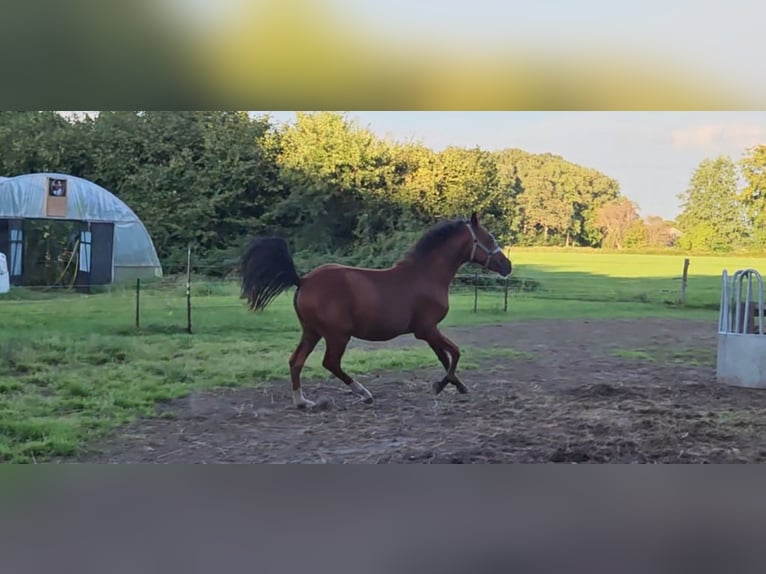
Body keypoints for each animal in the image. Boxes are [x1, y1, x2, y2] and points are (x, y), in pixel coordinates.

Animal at [243, 213, 512, 410]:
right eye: (489, 238)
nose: (507, 266)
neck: (426, 275)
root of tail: (303, 280)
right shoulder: (427, 329)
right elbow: (454, 353)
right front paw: (442, 384)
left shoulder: (427, 332)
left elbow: (444, 358)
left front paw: (456, 385)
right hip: (337, 335)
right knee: (330, 362)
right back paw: (364, 393)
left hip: (312, 332)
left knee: (296, 361)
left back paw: (302, 402)